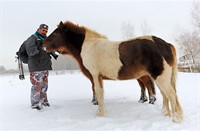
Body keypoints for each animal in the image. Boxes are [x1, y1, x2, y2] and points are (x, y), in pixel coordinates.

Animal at [43, 21, 184, 122]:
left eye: (55, 34)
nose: (42, 44)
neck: (88, 46)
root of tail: (166, 44)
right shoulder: (98, 77)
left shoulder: (95, 76)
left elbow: (98, 93)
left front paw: (100, 114)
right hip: (159, 78)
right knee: (165, 95)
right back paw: (165, 114)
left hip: (160, 77)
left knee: (171, 95)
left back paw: (176, 119)